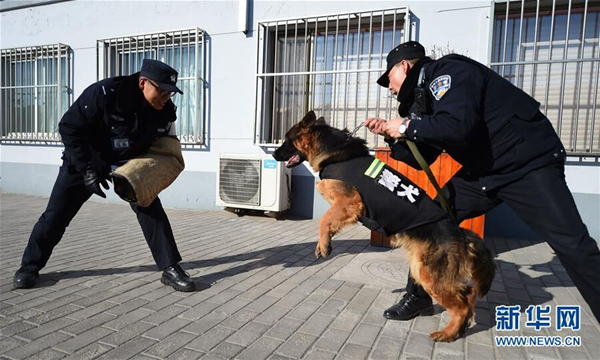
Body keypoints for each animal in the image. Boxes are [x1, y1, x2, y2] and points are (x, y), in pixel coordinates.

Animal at [274, 111, 494, 342]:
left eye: (287, 140)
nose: (274, 154)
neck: (333, 150)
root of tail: (460, 233)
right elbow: (329, 221)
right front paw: (323, 243)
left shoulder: (349, 201)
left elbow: (325, 219)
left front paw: (324, 245)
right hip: (422, 268)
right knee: (468, 295)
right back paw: (460, 327)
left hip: (429, 275)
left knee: (461, 304)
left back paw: (448, 333)